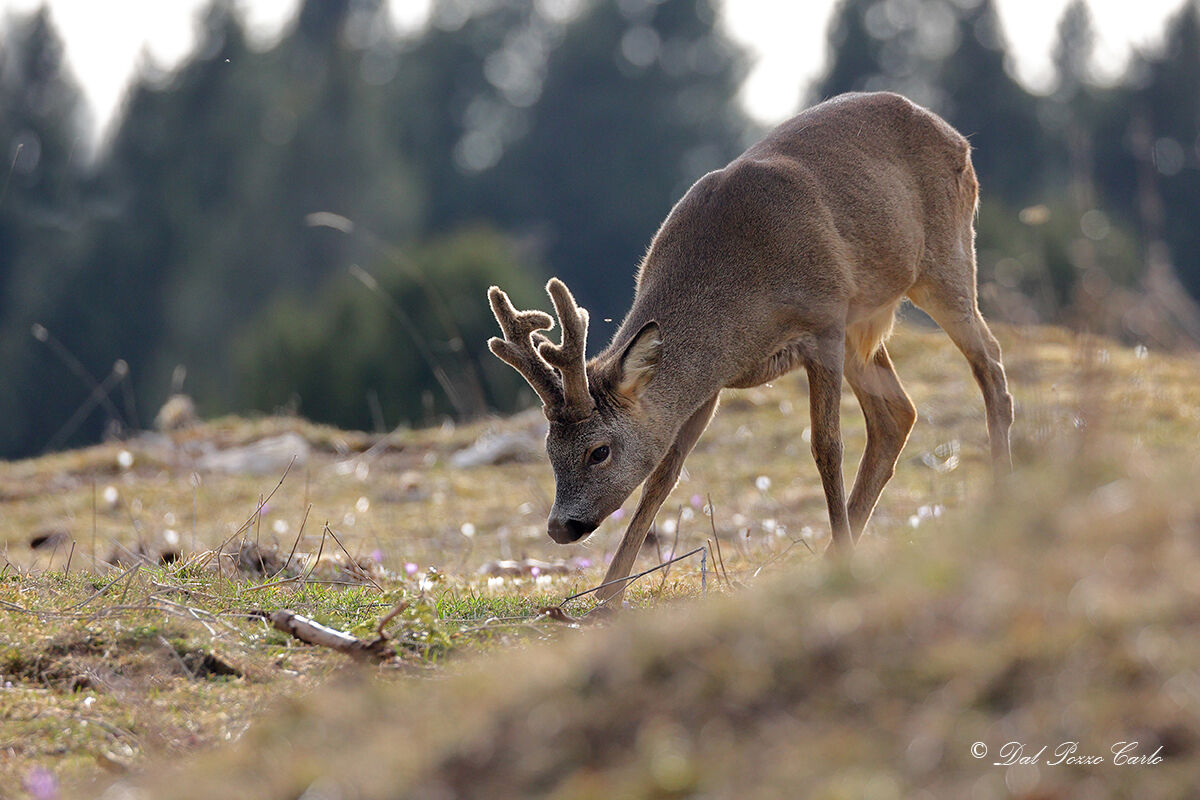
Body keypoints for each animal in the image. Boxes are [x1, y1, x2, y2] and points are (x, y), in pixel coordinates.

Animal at [487, 91, 1013, 603]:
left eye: (599, 451)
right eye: (550, 450)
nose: (560, 527)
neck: (742, 302)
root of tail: (956, 136)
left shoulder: (824, 323)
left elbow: (826, 446)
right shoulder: (712, 382)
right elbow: (663, 475)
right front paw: (607, 596)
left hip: (944, 258)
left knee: (989, 362)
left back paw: (996, 497)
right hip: (866, 321)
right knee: (899, 414)